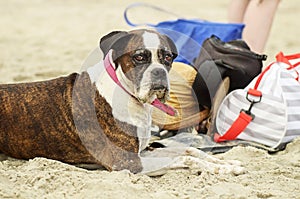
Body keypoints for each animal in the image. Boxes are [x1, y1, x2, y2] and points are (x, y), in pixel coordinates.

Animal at [0, 29, 244, 176]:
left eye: (167, 57)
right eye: (139, 57)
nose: (159, 72)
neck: (129, 94)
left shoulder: (143, 151)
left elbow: (189, 151)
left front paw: (228, 164)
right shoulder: (128, 163)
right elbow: (186, 159)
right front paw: (218, 169)